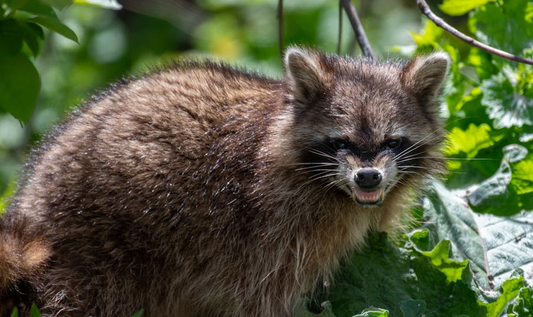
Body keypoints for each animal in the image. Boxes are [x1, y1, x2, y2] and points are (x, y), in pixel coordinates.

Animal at [0, 47, 448, 316]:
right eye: (340, 142)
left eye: (392, 141)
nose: (368, 175)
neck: (338, 192)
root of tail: (27, 203)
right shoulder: (266, 229)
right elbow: (262, 297)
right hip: (95, 243)